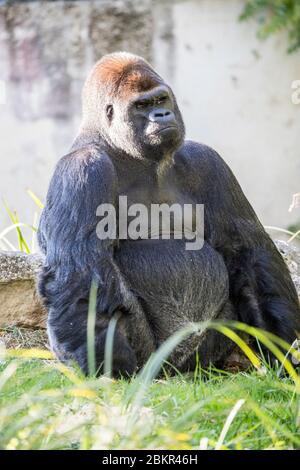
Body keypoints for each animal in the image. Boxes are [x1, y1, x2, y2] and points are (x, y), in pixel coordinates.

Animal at [38, 51, 300, 376]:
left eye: (161, 99)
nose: (162, 115)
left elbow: (247, 252)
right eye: (141, 106)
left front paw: (283, 349)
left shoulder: (209, 162)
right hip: (152, 359)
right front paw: (105, 365)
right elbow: (80, 272)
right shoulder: (82, 169)